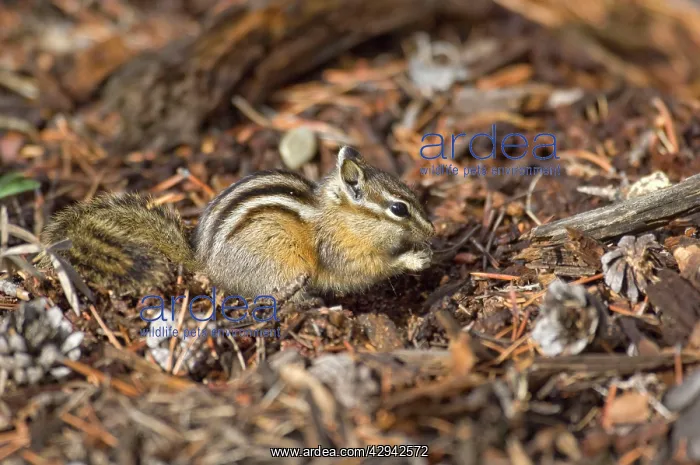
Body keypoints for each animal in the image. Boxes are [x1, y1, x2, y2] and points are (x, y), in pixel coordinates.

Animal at [40, 146, 435, 300]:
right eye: (399, 209)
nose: (433, 230)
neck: (340, 218)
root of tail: (205, 265)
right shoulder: (339, 251)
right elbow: (363, 270)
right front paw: (413, 258)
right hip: (282, 265)